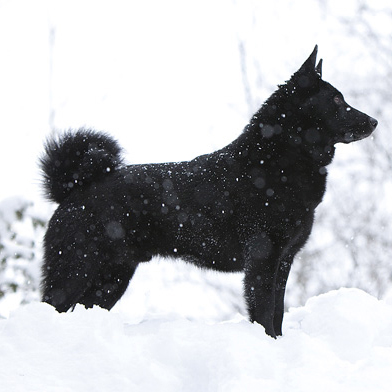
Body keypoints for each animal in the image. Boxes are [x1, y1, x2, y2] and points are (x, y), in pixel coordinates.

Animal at [39, 46, 376, 336]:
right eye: (336, 101)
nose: (374, 121)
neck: (275, 163)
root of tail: (74, 189)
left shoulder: (285, 261)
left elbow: (278, 314)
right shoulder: (263, 260)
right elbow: (265, 314)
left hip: (112, 279)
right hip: (74, 271)